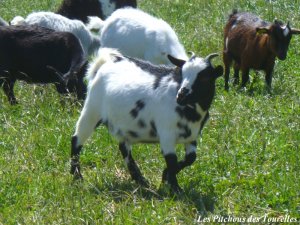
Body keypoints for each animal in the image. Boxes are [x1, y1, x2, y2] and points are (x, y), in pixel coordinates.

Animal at [70, 47, 223, 192]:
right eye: (182, 73)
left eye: (204, 78)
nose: (181, 96)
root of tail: (105, 63)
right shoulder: (166, 134)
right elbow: (172, 161)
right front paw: (175, 188)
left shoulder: (192, 136)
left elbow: (191, 158)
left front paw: (165, 177)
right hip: (92, 109)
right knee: (76, 139)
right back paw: (76, 176)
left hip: (122, 125)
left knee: (124, 148)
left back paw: (140, 179)